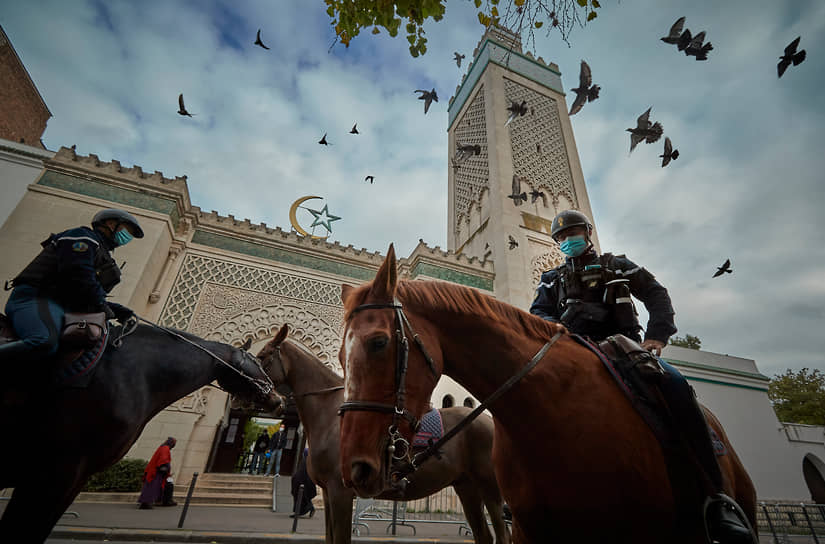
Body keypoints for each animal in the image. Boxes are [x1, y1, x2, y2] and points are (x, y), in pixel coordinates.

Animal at [258, 326, 512, 540]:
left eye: (262, 357)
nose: (274, 401)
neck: (331, 413)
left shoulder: (340, 492)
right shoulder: (329, 493)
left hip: (490, 489)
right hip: (467, 487)